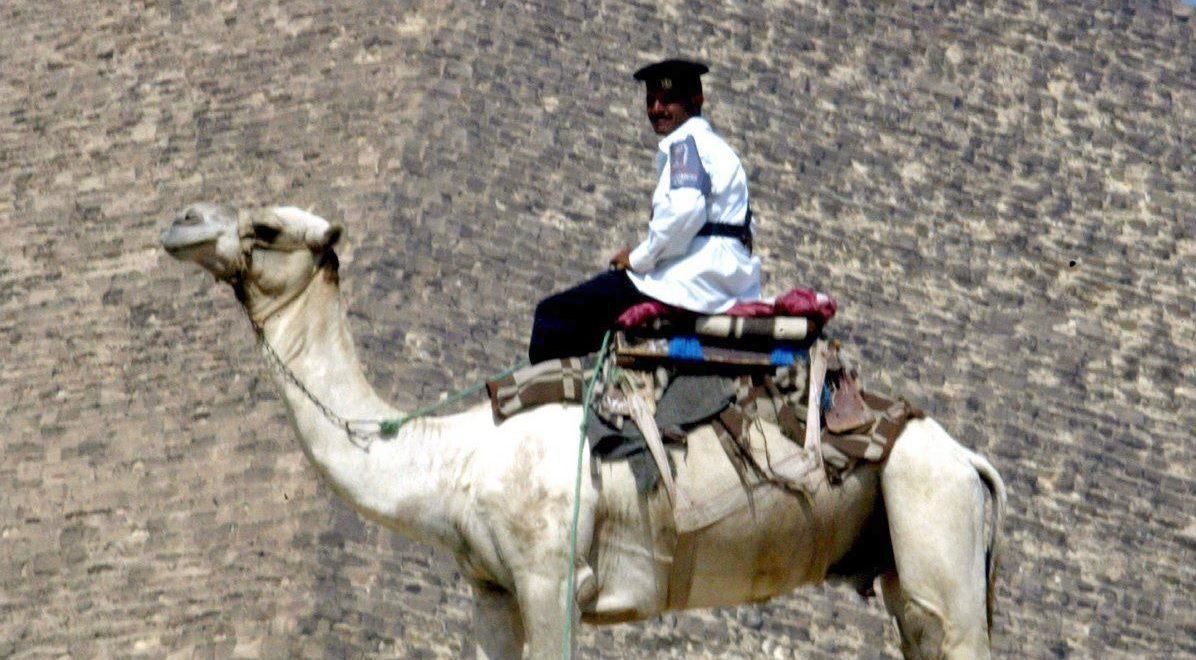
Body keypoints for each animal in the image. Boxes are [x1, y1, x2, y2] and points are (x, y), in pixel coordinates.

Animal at [156, 203, 999, 655]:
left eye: (267, 227)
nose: (182, 224)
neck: (455, 458)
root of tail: (971, 462)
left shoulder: (552, 576)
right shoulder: (491, 589)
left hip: (934, 523)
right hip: (903, 564)